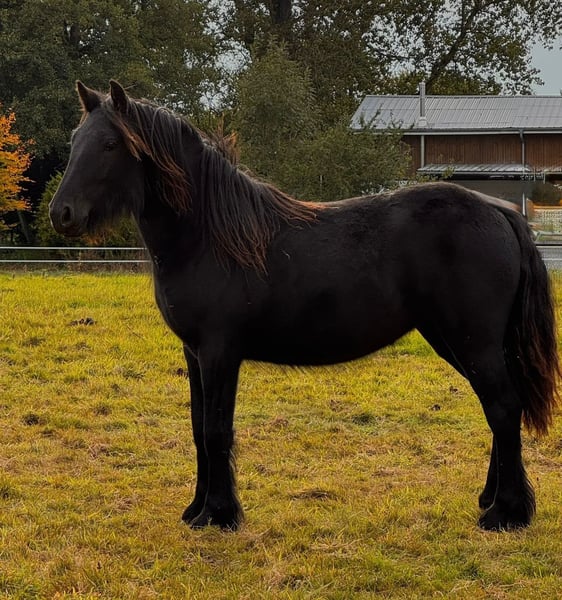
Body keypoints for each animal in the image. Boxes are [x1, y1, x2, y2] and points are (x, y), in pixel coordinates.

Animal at [50, 80, 560, 532]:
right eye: (76, 140)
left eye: (111, 143)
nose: (62, 213)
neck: (209, 236)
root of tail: (501, 213)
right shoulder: (193, 354)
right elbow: (198, 428)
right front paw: (196, 509)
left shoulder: (219, 353)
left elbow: (217, 431)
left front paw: (220, 516)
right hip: (458, 342)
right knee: (499, 410)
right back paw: (491, 500)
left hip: (473, 343)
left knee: (503, 407)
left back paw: (506, 514)